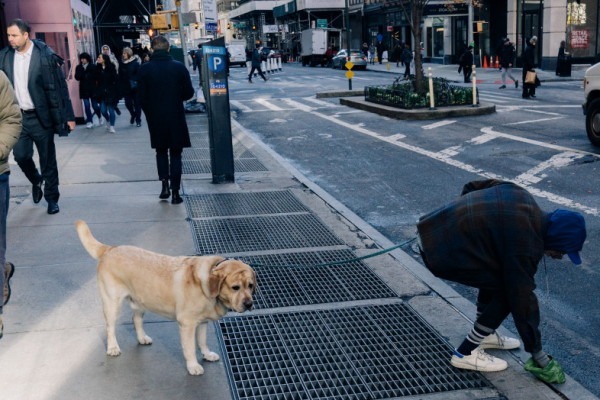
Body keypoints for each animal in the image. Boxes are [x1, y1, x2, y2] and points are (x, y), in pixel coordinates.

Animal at [74, 219, 255, 376]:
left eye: (251, 286)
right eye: (235, 287)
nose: (249, 304)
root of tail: (110, 249)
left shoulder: (202, 322)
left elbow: (202, 341)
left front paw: (207, 354)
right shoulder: (187, 324)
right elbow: (190, 348)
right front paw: (193, 366)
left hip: (140, 300)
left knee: (136, 319)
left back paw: (142, 338)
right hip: (112, 303)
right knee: (110, 327)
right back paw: (112, 348)